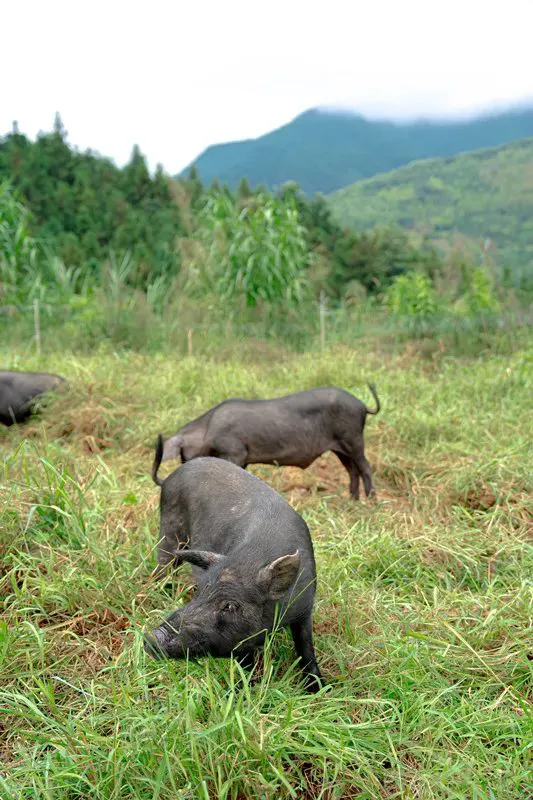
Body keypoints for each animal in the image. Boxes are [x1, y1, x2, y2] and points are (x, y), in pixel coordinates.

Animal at [143, 434, 322, 692]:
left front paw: (319, 689)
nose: (150, 637)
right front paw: (243, 691)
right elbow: (245, 664)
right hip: (169, 531)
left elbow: (305, 648)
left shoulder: (305, 607)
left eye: (230, 605)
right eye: (199, 593)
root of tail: (168, 477)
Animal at [161, 382, 378, 500]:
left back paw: (370, 501)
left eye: (183, 453)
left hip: (353, 438)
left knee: (365, 467)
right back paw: (353, 499)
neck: (208, 430)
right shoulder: (243, 457)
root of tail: (362, 405)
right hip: (340, 448)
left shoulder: (235, 451)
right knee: (352, 471)